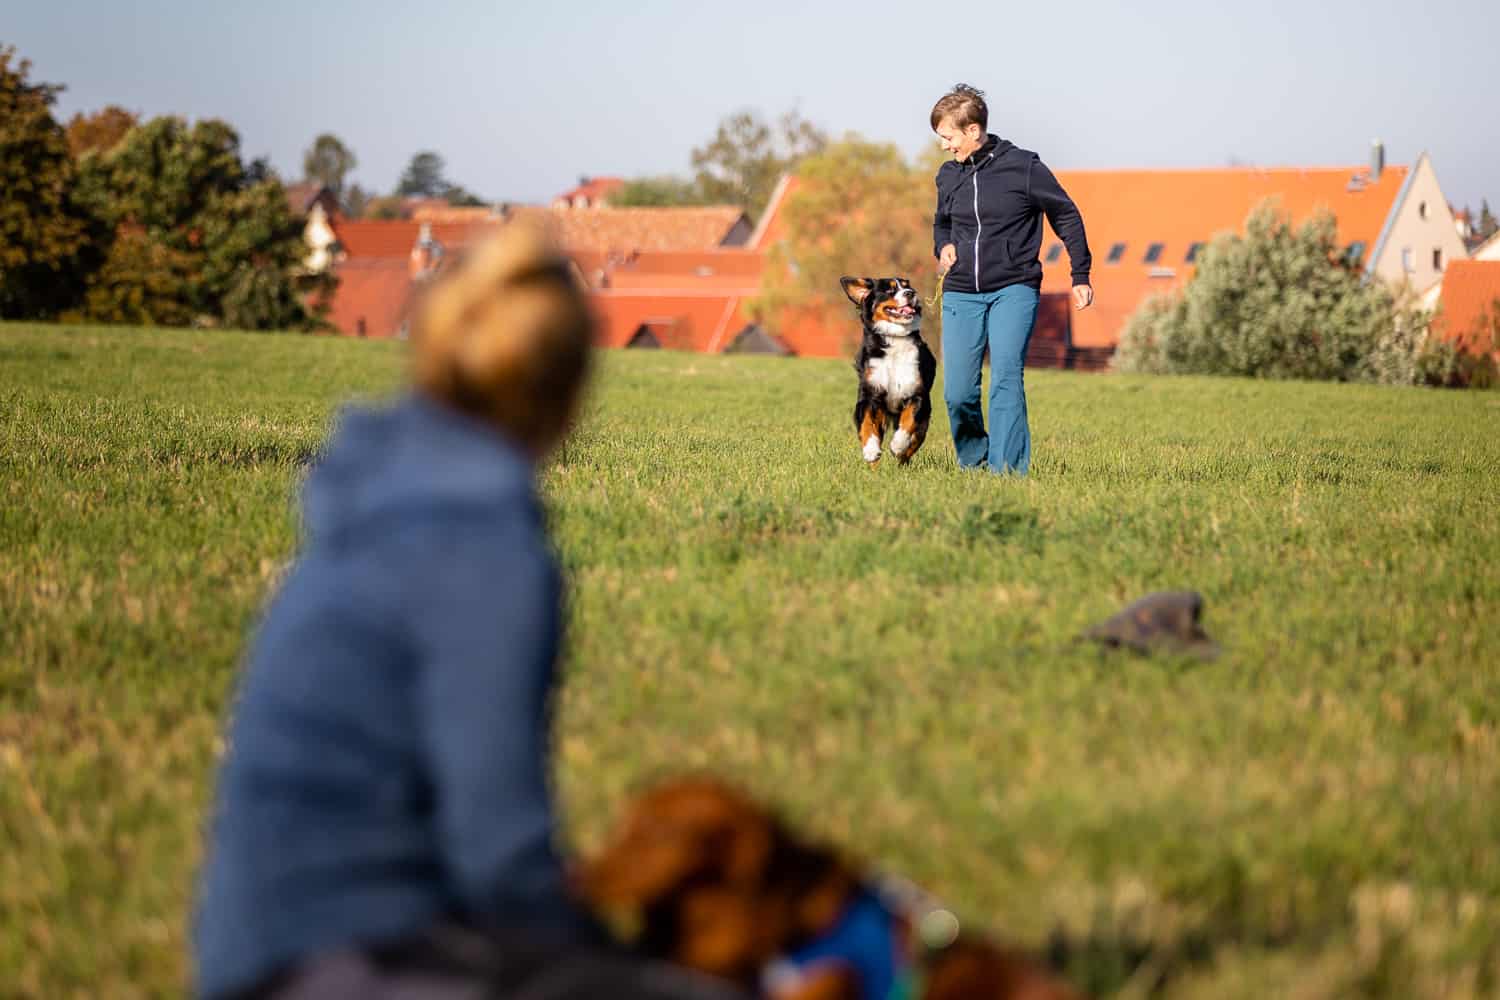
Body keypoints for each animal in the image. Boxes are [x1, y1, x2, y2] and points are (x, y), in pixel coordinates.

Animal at [846, 277, 936, 470]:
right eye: (889, 290)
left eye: (908, 286)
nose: (911, 293)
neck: (895, 338)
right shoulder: (870, 394)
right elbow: (867, 425)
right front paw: (870, 451)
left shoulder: (917, 394)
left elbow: (909, 421)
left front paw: (898, 444)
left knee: (913, 442)